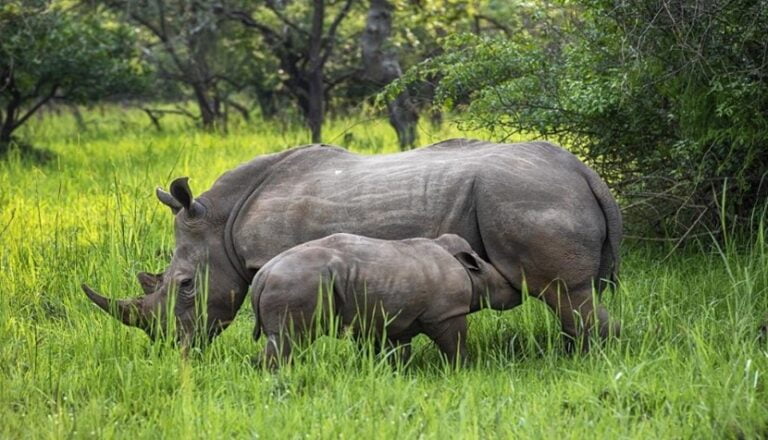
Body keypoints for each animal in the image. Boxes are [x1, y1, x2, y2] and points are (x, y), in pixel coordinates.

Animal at [249, 234, 520, 368]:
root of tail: (263, 275)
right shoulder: (446, 313)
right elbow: (456, 345)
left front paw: (397, 374)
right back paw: (280, 376)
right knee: (290, 338)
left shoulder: (398, 319)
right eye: (506, 286)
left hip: (294, 282)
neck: (472, 272)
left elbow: (398, 352)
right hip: (296, 282)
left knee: (283, 339)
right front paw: (463, 369)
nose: (519, 295)